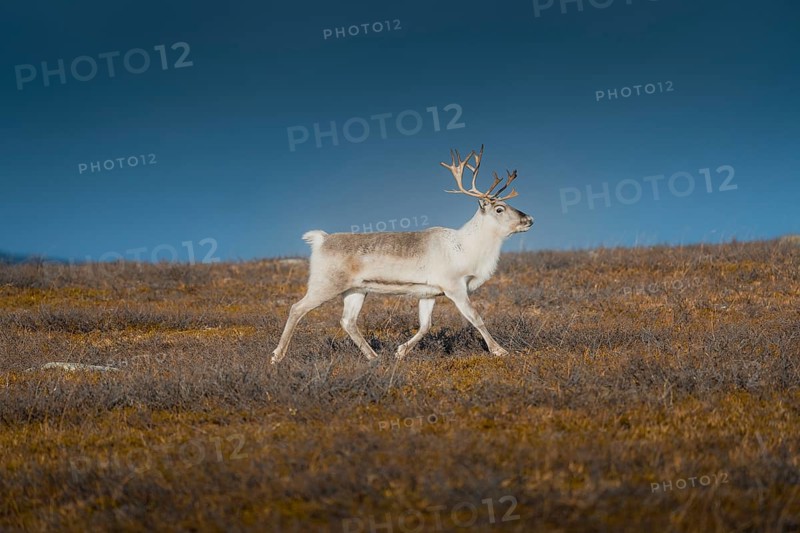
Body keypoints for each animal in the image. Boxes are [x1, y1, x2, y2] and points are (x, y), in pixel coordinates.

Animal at [271, 145, 533, 364]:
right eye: (499, 208)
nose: (529, 219)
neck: (467, 246)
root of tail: (322, 239)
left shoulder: (428, 294)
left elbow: (425, 325)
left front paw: (400, 351)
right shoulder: (455, 287)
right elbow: (476, 317)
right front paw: (499, 350)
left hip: (356, 290)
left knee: (348, 321)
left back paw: (374, 356)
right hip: (325, 284)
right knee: (297, 308)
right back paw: (277, 356)